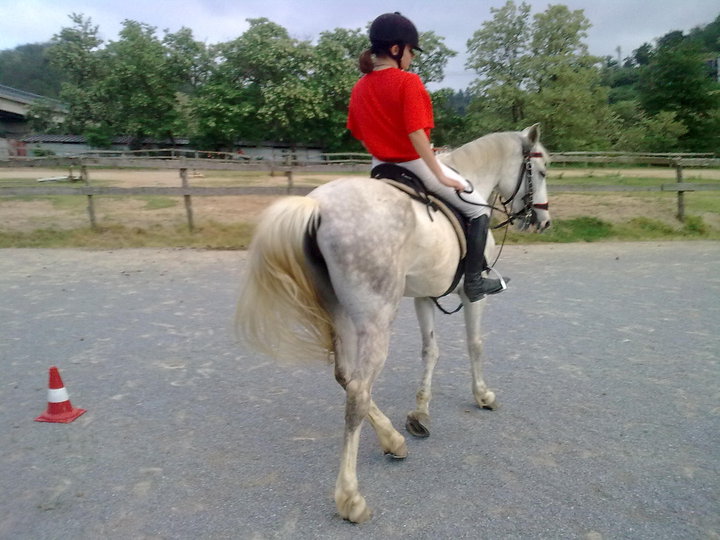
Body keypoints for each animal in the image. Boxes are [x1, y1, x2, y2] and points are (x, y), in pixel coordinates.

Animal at [236, 123, 552, 524]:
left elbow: (430, 350)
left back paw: (392, 439)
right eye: (540, 172)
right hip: (376, 321)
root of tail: (317, 207)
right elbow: (474, 344)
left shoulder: (424, 296)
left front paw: (420, 414)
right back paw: (351, 498)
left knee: (346, 376)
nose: (543, 221)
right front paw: (483, 395)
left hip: (340, 314)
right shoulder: (471, 296)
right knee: (357, 391)